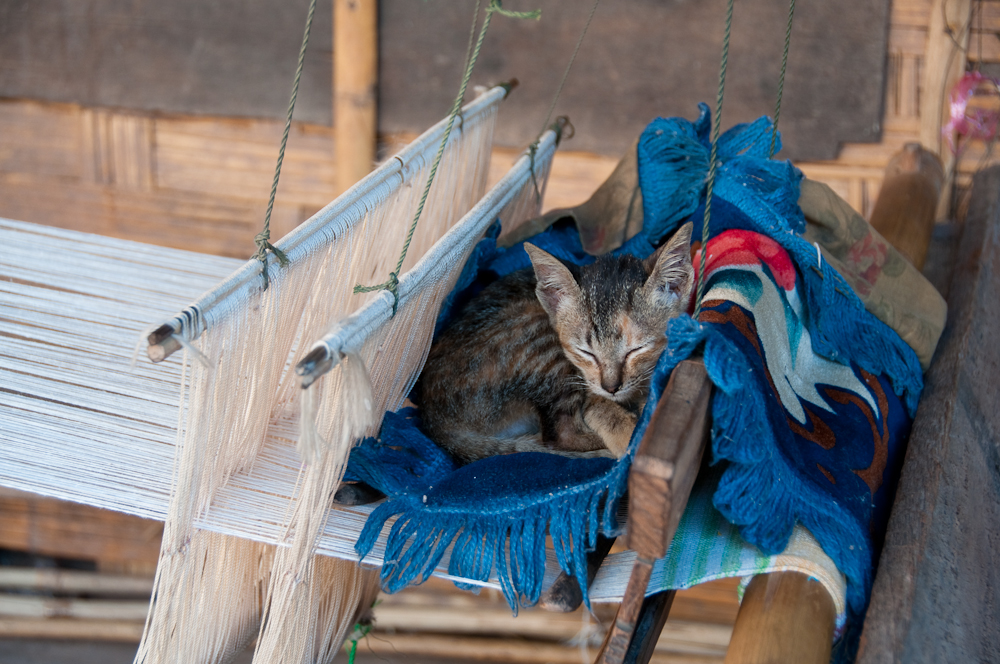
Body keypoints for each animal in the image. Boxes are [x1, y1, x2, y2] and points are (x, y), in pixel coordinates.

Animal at [418, 223, 692, 462]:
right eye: (586, 352)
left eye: (636, 349)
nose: (611, 387)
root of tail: (432, 418)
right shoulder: (588, 387)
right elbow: (603, 411)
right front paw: (629, 433)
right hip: (544, 347)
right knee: (558, 436)